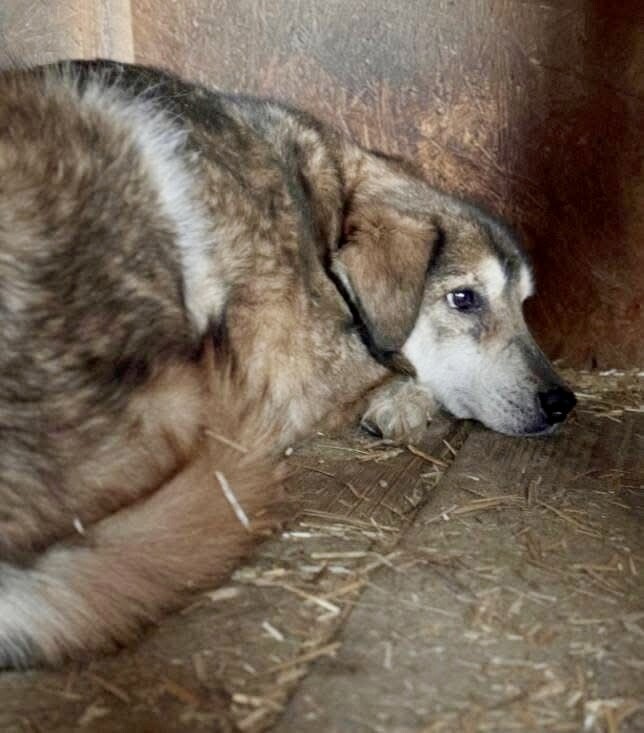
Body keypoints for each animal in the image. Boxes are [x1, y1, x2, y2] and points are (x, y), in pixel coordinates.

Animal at [0, 60, 576, 667]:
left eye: (524, 304)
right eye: (464, 299)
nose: (563, 401)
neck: (325, 211)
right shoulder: (292, 370)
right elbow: (393, 367)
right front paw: (403, 397)